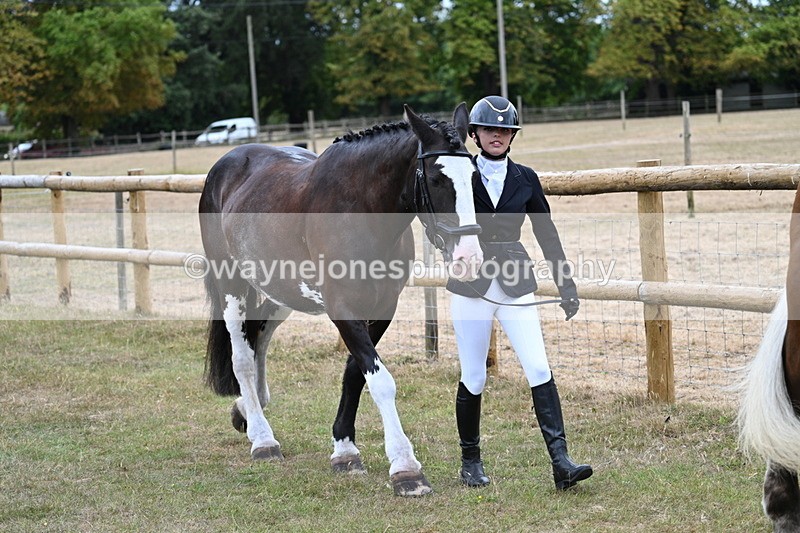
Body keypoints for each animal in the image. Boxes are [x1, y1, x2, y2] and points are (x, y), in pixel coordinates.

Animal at [198, 103, 484, 497]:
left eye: (475, 177)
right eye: (438, 179)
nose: (469, 257)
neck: (361, 211)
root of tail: (227, 162)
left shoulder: (381, 310)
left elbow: (355, 376)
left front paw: (345, 451)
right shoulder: (344, 310)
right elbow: (381, 382)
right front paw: (405, 468)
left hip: (280, 291)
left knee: (260, 339)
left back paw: (246, 408)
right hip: (232, 285)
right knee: (242, 357)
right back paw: (262, 439)